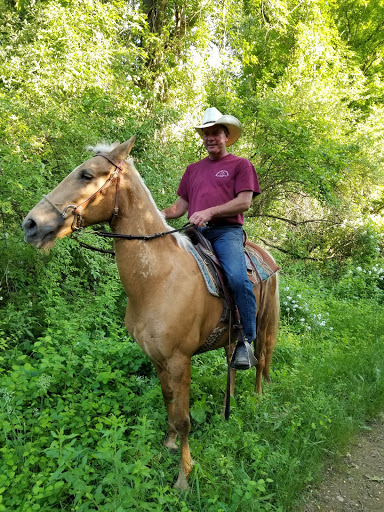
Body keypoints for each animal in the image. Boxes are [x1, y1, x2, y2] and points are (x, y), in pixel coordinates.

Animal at [22, 138, 280, 490]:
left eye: (86, 174)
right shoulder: (157, 357)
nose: (30, 225)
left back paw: (257, 398)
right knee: (234, 360)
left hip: (265, 323)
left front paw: (184, 476)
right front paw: (168, 444)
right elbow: (168, 401)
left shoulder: (179, 359)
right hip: (232, 336)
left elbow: (184, 418)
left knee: (262, 358)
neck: (158, 279)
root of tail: (265, 254)